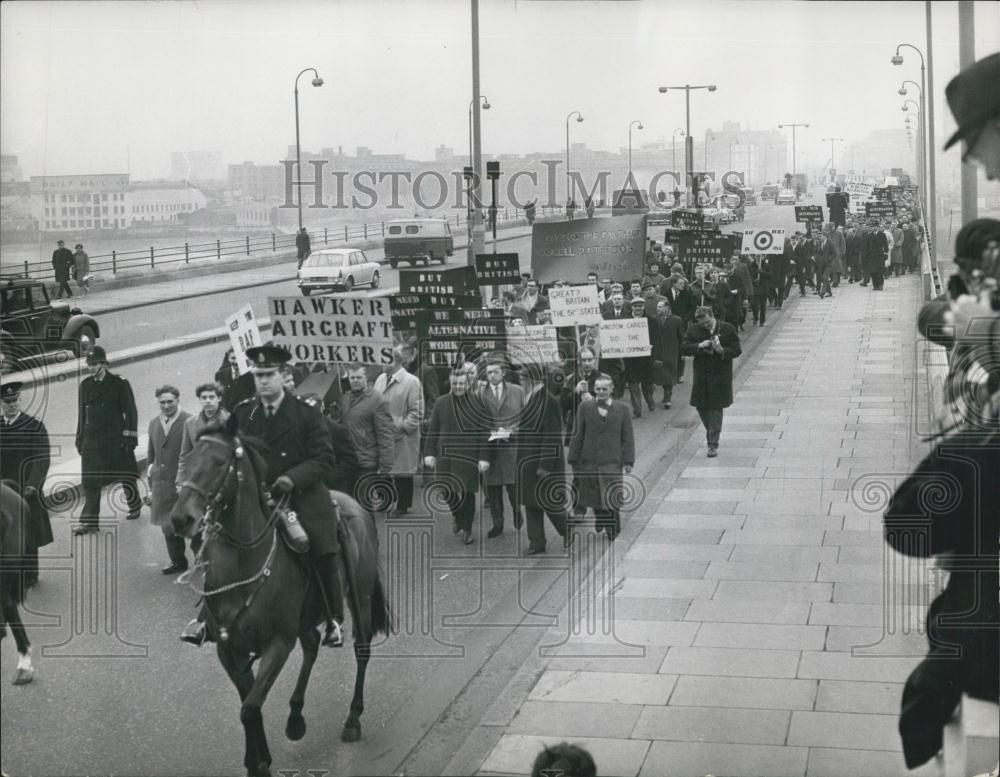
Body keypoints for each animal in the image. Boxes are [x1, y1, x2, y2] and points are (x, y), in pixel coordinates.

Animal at [172, 428, 390, 772]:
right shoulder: (228, 649)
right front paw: (260, 758)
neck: (244, 563)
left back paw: (353, 719)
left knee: (362, 651)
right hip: (306, 617)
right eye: (189, 458)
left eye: (219, 462)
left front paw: (256, 763)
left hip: (362, 600)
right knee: (312, 644)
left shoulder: (278, 645)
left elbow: (249, 708)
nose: (181, 518)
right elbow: (250, 703)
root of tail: (351, 503)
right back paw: (295, 716)